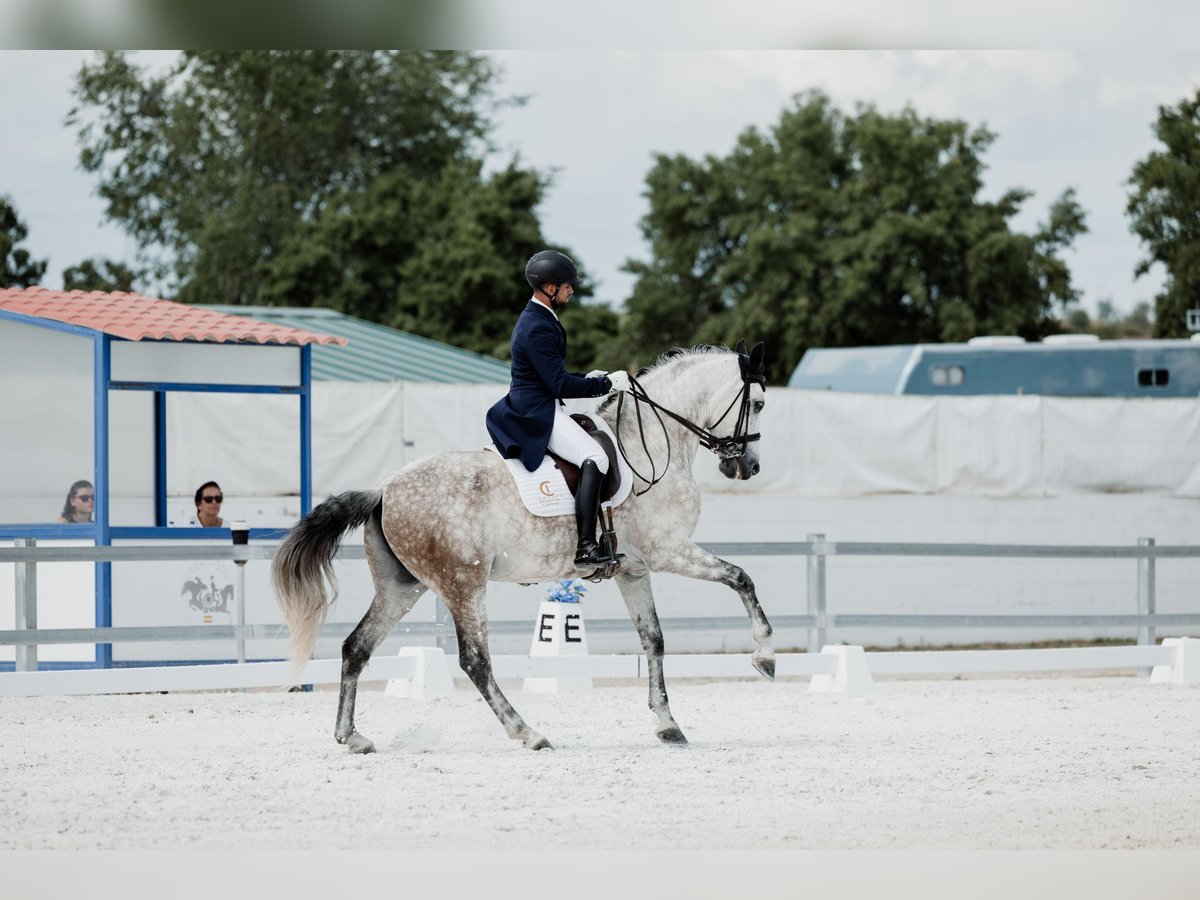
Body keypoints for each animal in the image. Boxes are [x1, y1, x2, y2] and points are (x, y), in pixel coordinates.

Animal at [274, 345, 772, 753]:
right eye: (759, 403)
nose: (747, 467)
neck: (646, 442)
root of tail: (383, 489)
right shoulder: (669, 550)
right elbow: (741, 577)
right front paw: (764, 655)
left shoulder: (635, 569)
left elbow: (654, 640)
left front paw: (667, 725)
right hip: (463, 585)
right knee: (474, 661)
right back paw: (528, 732)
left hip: (402, 587)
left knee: (356, 647)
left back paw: (351, 736)